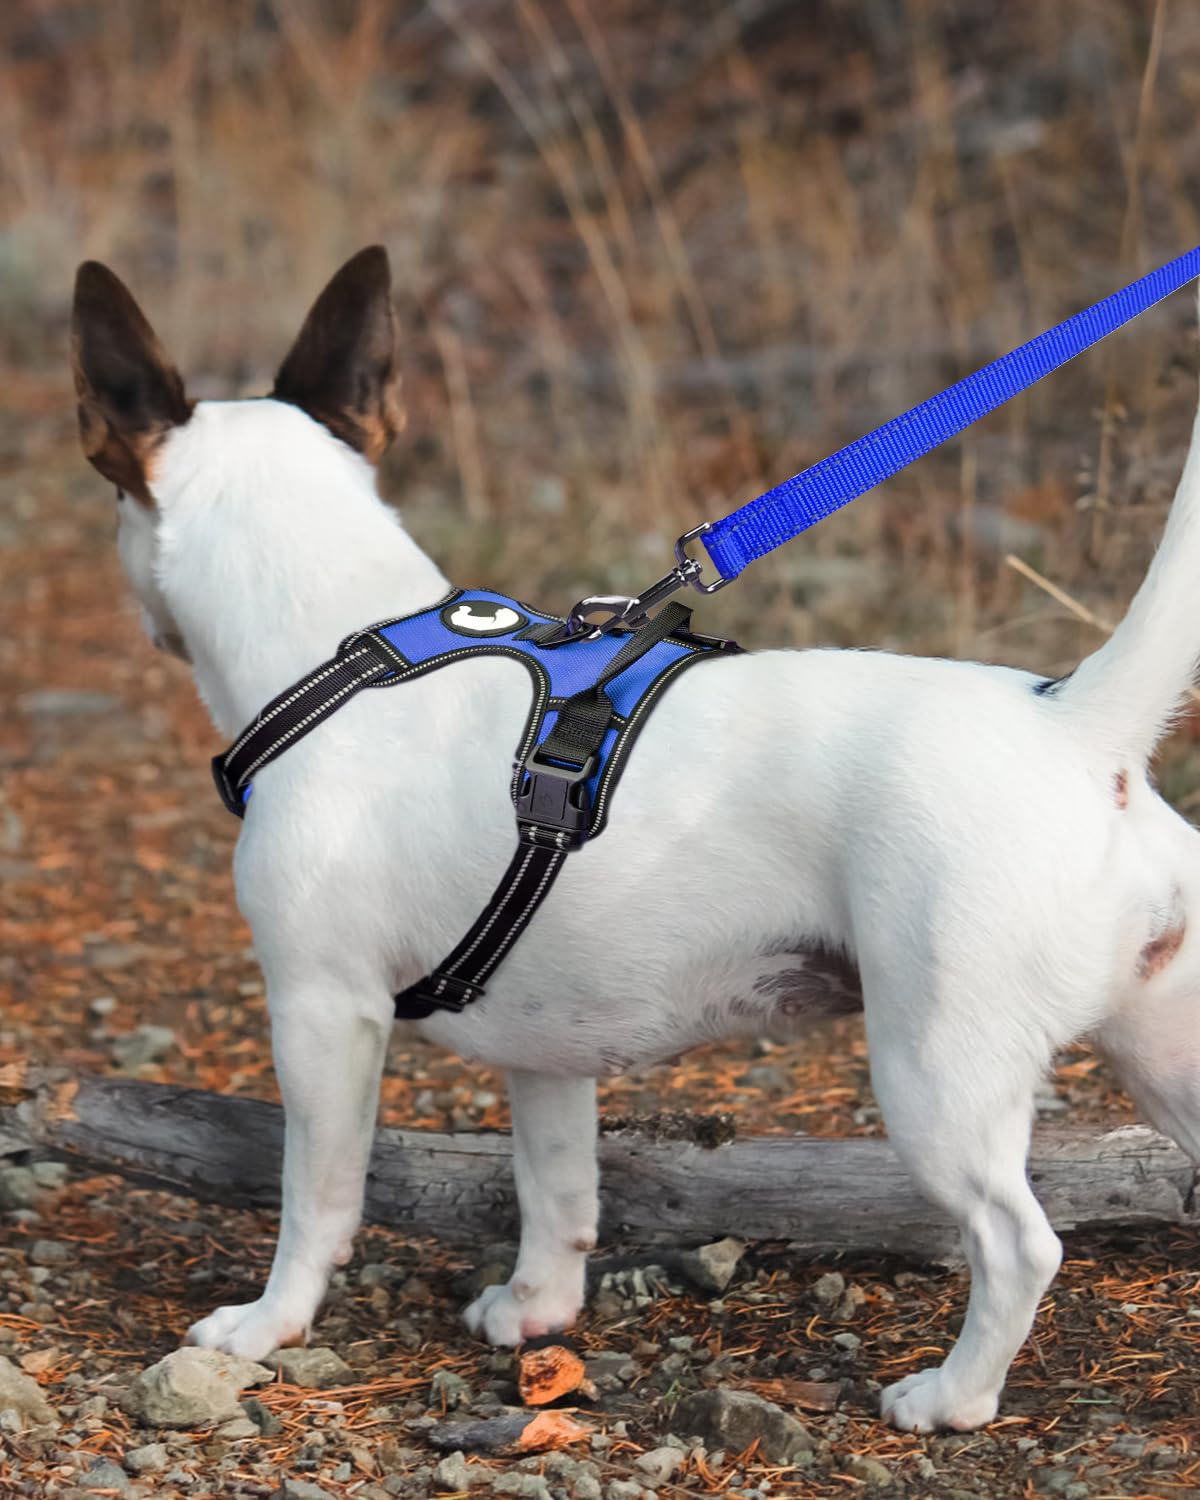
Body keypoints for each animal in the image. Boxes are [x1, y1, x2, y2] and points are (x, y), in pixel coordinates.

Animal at [72, 252, 1200, 1434]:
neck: (347, 650)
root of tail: (1078, 728)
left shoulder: (321, 1015)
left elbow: (317, 1199)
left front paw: (267, 1327)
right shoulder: (545, 1051)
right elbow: (558, 1185)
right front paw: (539, 1309)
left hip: (939, 1075)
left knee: (1017, 1244)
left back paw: (953, 1396)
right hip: (1167, 1059)